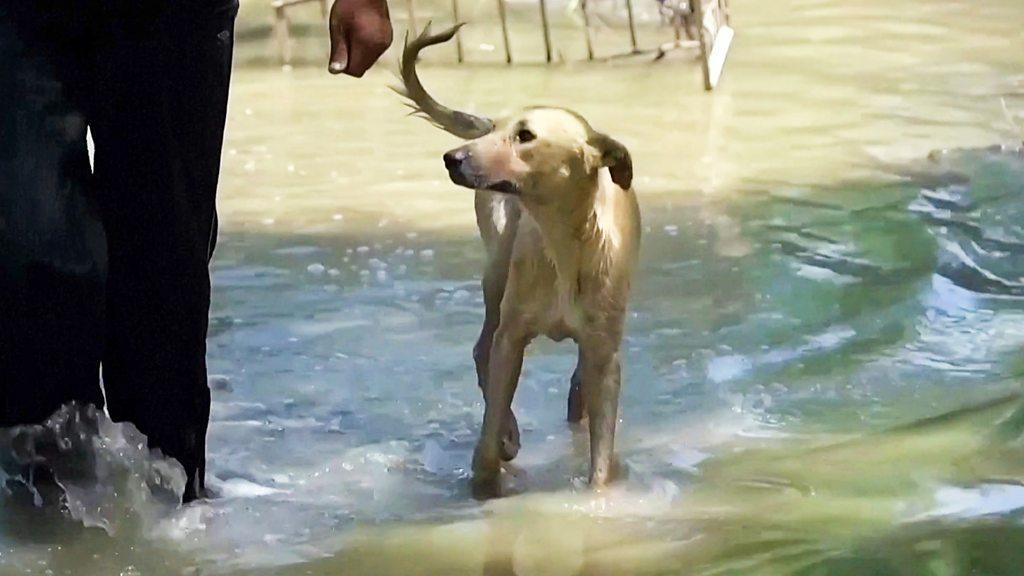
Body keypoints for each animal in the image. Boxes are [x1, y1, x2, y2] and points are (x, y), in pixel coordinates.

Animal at [393, 25, 638, 494]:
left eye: (526, 136)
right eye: (502, 130)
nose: (452, 158)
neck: (565, 246)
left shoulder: (605, 356)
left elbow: (601, 453)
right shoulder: (512, 335)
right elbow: (492, 415)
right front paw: (491, 464)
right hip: (496, 272)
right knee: (481, 350)